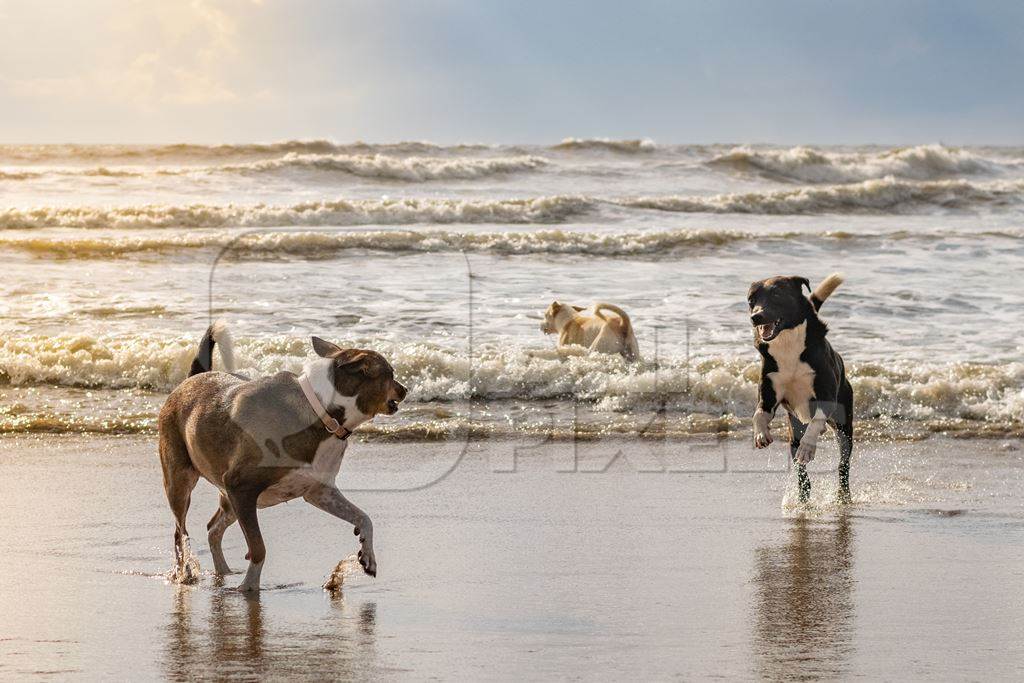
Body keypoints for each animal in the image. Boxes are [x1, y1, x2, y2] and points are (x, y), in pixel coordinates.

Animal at [157, 323, 405, 589]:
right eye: (390, 373)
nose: (405, 389)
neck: (323, 413)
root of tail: (191, 379)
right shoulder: (240, 487)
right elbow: (258, 548)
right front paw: (248, 588)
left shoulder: (319, 491)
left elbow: (363, 517)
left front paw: (368, 556)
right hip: (181, 481)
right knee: (180, 532)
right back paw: (185, 573)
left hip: (230, 500)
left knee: (213, 528)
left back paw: (223, 572)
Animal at [749, 272, 851, 501]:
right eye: (751, 299)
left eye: (776, 294)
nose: (756, 317)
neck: (787, 342)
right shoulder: (768, 393)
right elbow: (758, 414)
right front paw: (761, 434)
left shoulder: (826, 396)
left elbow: (815, 422)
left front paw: (808, 447)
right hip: (794, 429)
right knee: (799, 466)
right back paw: (803, 495)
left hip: (844, 426)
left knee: (843, 462)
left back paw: (843, 494)